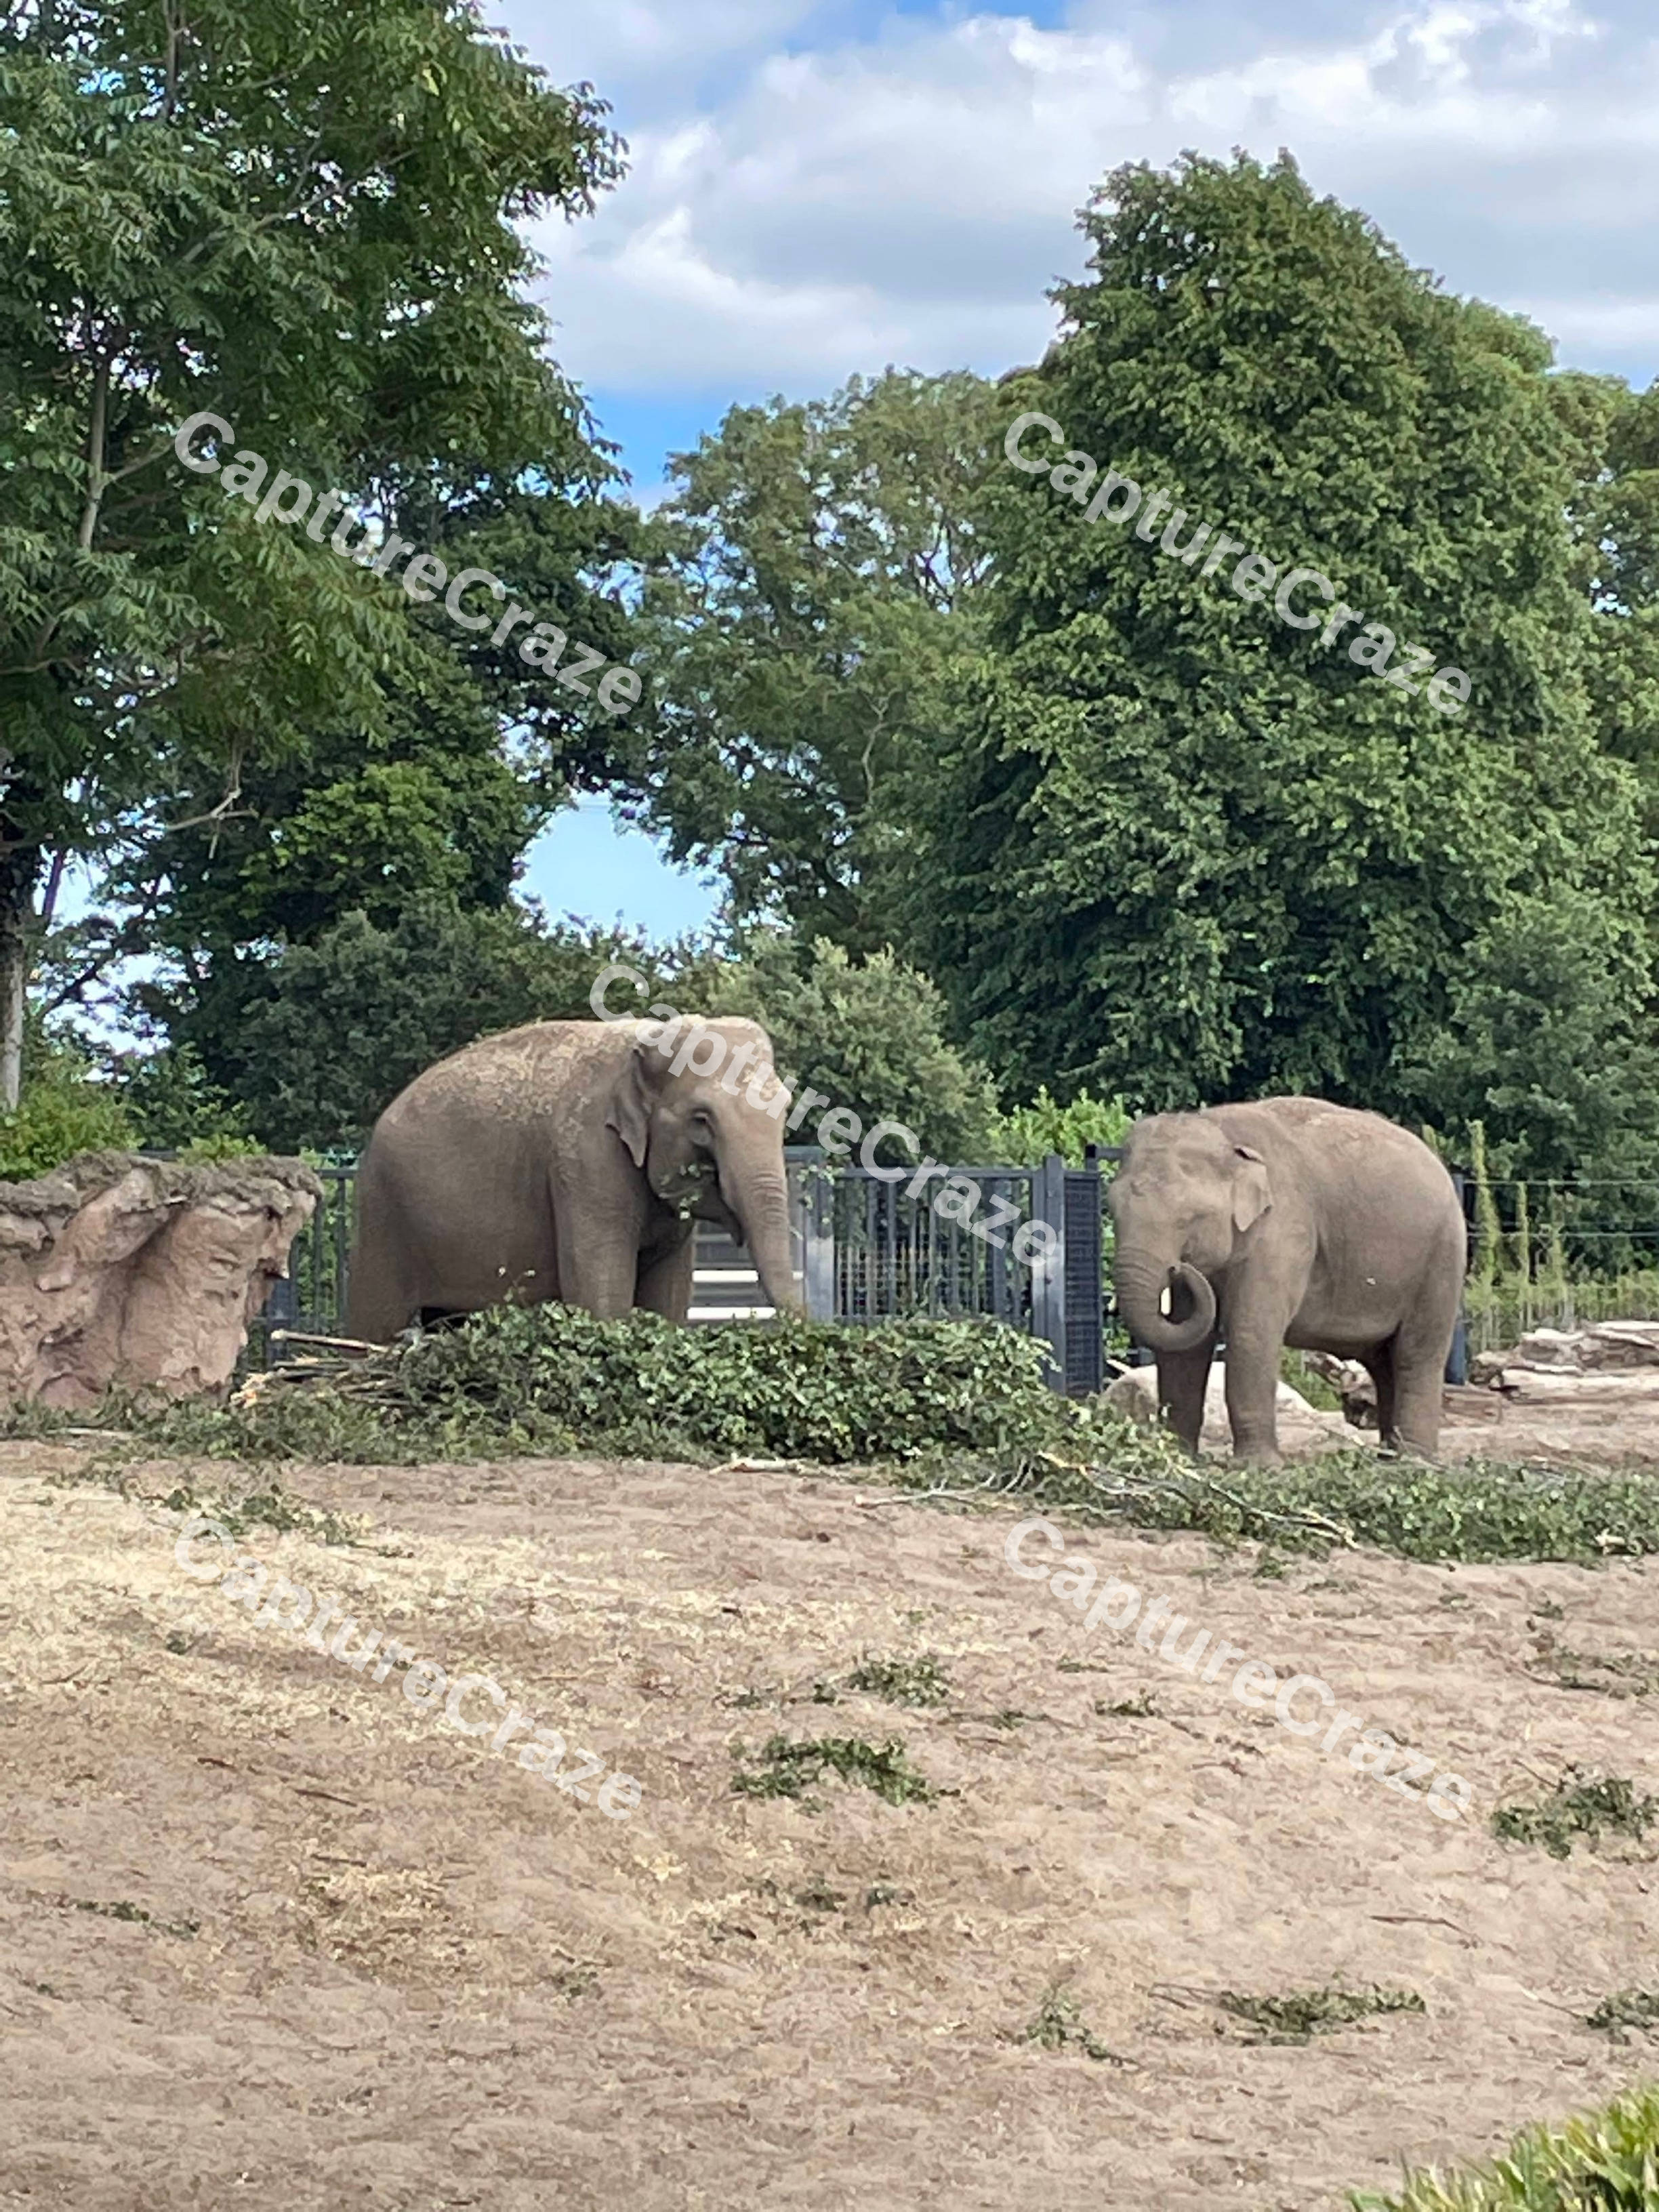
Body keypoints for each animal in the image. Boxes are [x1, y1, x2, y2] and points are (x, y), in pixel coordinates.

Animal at [344, 1015, 803, 1339]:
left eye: (786, 1109)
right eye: (702, 1120)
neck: (643, 1043)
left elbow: (667, 1300)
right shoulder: (586, 1159)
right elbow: (602, 1298)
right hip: (383, 1216)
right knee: (375, 1323)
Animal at [1107, 1098, 1466, 1461]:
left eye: (1188, 1219)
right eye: (1112, 1209)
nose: (1180, 1268)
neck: (1219, 1129)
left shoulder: (1285, 1229)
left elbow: (1252, 1330)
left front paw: (1257, 1465)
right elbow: (1186, 1346)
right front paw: (1179, 1457)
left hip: (1442, 1257)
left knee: (1417, 1353)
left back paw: (1413, 1461)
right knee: (1382, 1361)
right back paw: (1388, 1457)